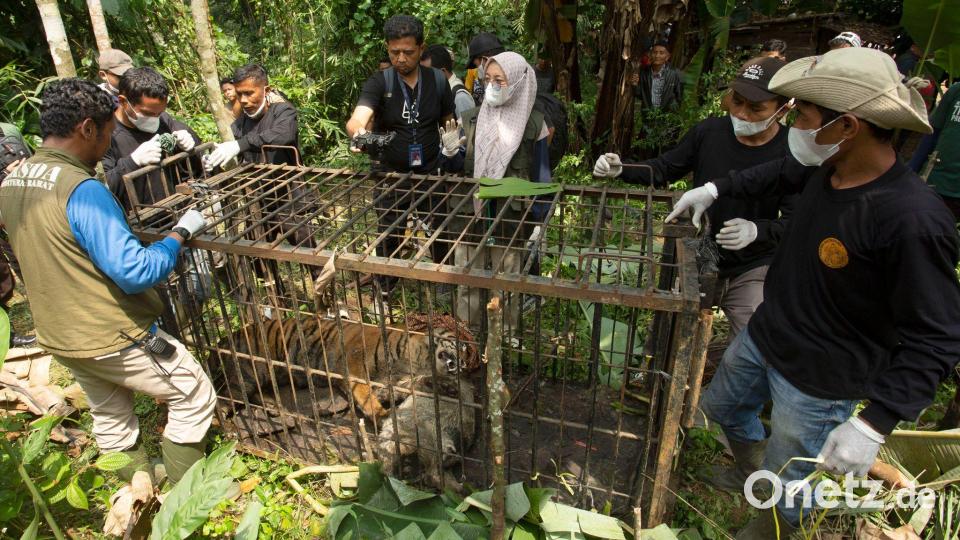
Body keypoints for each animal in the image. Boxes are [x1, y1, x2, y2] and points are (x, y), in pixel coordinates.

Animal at [208, 315, 477, 419]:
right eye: (463, 346)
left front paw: (448, 387)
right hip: (250, 370)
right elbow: (363, 391)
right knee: (226, 395)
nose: (462, 364)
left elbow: (416, 384)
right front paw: (379, 414)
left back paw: (274, 406)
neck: (415, 359)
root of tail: (225, 338)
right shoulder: (352, 362)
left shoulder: (396, 380)